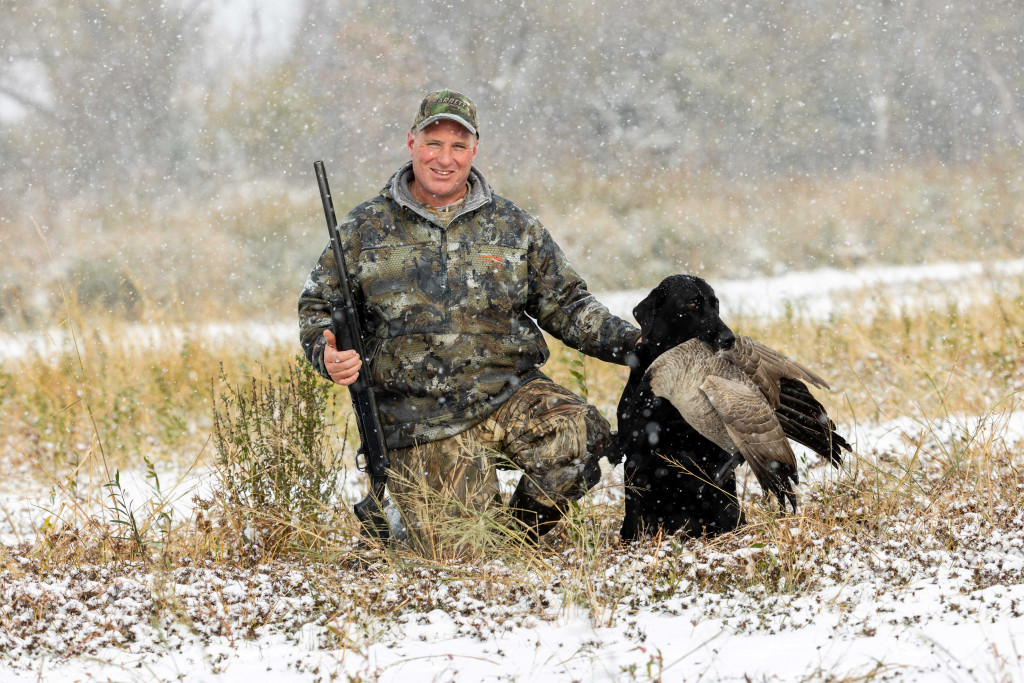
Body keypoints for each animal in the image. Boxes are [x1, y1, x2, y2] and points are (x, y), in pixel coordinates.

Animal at [606, 274, 847, 540]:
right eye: (692, 303)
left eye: (716, 303)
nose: (728, 339)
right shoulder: (636, 454)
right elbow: (635, 508)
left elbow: (725, 500)